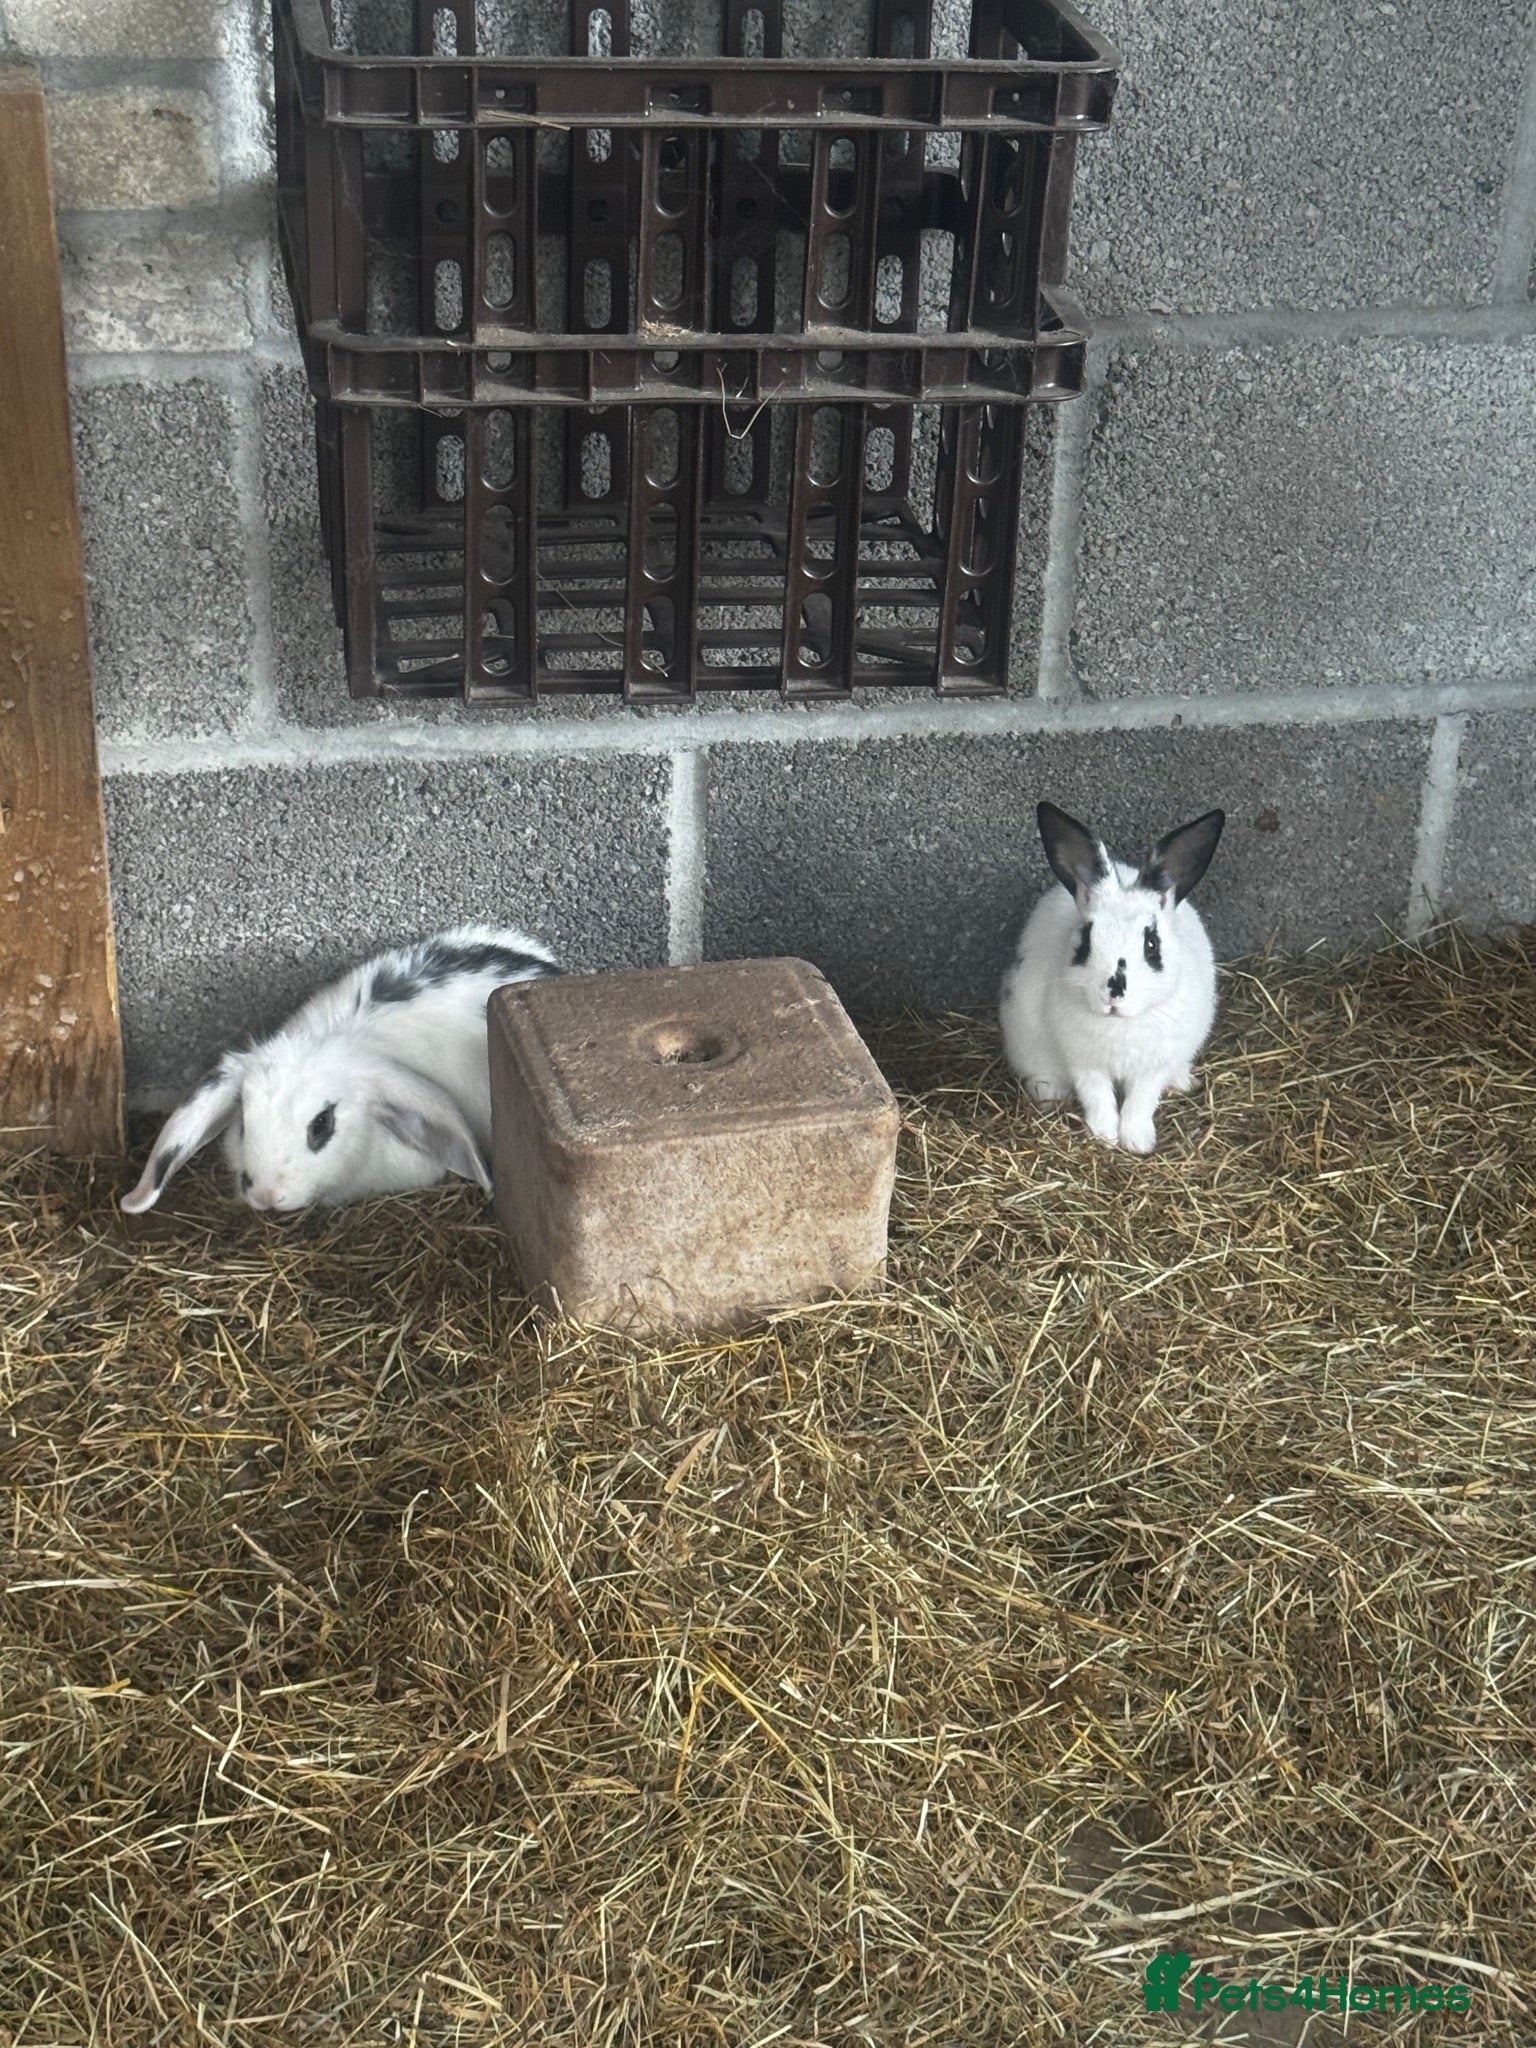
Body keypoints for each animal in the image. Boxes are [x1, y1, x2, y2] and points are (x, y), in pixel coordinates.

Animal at [999, 802, 1225, 1155]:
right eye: (1085, 941)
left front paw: (1137, 1141)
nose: (1113, 992)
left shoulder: (1153, 1066)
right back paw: (1047, 1093)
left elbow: (1140, 1101)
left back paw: (1182, 1082)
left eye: (1151, 944)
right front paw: (1103, 1136)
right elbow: (1098, 1097)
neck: (1119, 1024)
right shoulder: (1084, 1062)